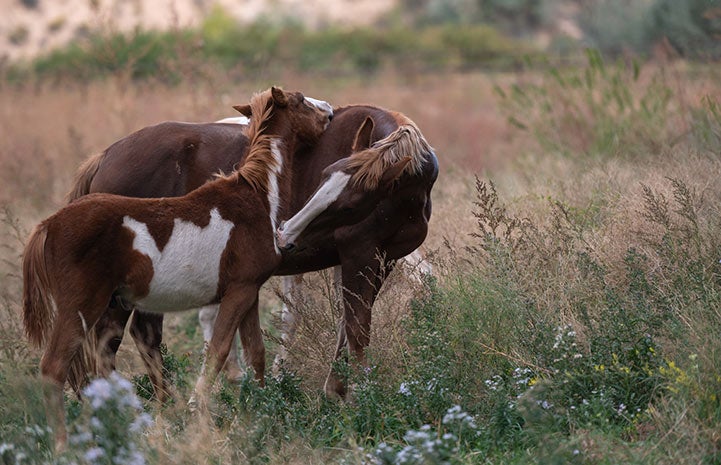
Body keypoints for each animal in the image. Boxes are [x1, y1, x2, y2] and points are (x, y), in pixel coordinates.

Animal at [23, 88, 334, 450]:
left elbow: (255, 351)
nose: (329, 113)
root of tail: (48, 225)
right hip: (81, 306)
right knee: (56, 367)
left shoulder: (249, 290)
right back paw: (66, 444)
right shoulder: (239, 291)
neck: (256, 195)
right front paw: (201, 415)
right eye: (300, 100)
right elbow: (218, 350)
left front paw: (258, 411)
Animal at [69, 102, 438, 398]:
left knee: (132, 335)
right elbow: (356, 328)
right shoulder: (357, 255)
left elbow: (345, 326)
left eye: (349, 205)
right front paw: (353, 394)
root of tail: (105, 157)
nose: (284, 233)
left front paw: (336, 390)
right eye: (322, 177)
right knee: (115, 338)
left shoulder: (383, 260)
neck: (406, 193)